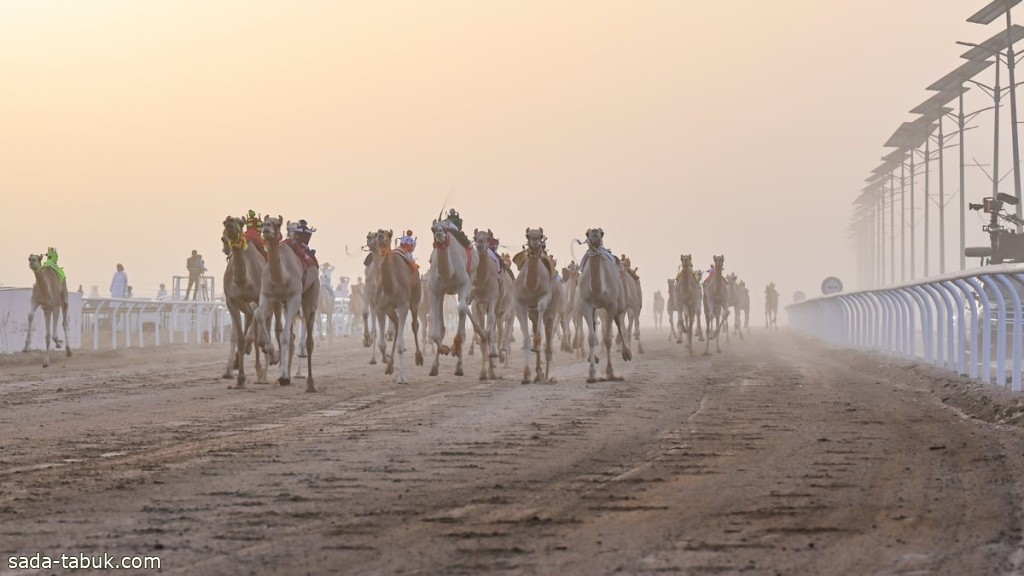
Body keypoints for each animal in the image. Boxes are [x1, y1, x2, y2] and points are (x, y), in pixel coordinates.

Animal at [220, 215, 268, 385]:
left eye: (240, 223)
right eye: (224, 222)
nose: (229, 220)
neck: (244, 281)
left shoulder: (259, 298)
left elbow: (257, 334)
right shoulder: (232, 301)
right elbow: (240, 338)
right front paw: (240, 378)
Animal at [252, 215, 319, 389]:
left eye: (277, 224)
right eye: (265, 222)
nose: (266, 228)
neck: (281, 277)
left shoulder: (294, 297)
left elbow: (284, 335)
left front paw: (282, 375)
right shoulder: (268, 295)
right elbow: (259, 314)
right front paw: (272, 354)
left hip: (311, 292)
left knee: (308, 331)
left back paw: (309, 382)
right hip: (283, 304)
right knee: (291, 334)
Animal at [372, 227, 423, 381]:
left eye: (388, 234)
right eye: (377, 234)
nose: (380, 234)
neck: (391, 287)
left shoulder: (403, 305)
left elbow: (401, 345)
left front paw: (402, 378)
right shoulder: (381, 308)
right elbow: (382, 344)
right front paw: (387, 363)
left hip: (415, 298)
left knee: (414, 325)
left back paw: (419, 358)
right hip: (390, 310)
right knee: (395, 326)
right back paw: (390, 366)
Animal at [423, 217, 479, 375]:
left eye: (446, 229)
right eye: (432, 229)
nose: (439, 233)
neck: (448, 273)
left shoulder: (464, 283)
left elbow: (462, 309)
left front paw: (454, 347)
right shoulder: (435, 290)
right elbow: (437, 327)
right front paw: (443, 350)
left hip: (471, 277)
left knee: (463, 308)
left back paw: (459, 366)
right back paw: (435, 366)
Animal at [577, 227, 630, 381]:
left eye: (601, 232)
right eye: (587, 233)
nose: (595, 233)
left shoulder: (611, 305)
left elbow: (607, 339)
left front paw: (610, 372)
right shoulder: (586, 304)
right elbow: (591, 338)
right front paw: (592, 374)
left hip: (620, 303)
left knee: (618, 320)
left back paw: (627, 353)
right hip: (595, 308)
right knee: (595, 324)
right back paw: (592, 357)